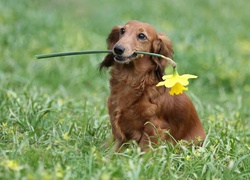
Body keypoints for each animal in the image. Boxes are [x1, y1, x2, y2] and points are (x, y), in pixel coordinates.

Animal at [98, 20, 206, 150]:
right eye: (122, 30)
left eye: (141, 36)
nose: (118, 48)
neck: (131, 80)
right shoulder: (116, 125)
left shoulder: (152, 127)